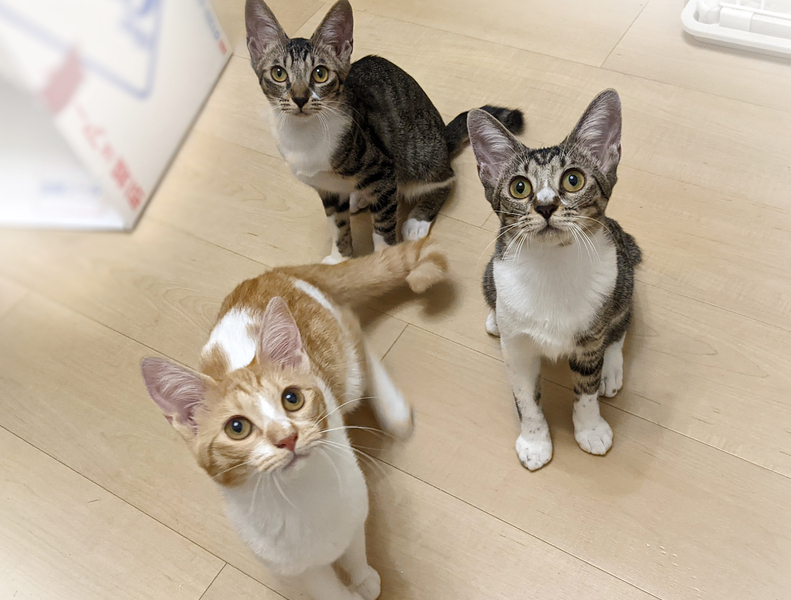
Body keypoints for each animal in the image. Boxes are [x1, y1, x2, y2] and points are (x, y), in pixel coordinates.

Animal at [140, 239, 447, 600]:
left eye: (292, 399)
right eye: (236, 427)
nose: (286, 437)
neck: (300, 498)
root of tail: (270, 274)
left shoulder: (355, 509)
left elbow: (355, 548)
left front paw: (363, 579)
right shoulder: (292, 565)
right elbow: (327, 589)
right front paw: (352, 592)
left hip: (343, 362)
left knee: (356, 335)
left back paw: (392, 407)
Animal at [245, 0, 524, 264]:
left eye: (320, 74)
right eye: (278, 73)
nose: (300, 98)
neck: (305, 132)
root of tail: (442, 139)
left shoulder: (383, 167)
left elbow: (382, 226)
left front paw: (382, 262)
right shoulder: (326, 189)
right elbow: (337, 224)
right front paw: (340, 257)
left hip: (418, 156)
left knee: (445, 180)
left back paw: (417, 220)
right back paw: (360, 198)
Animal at [467, 90, 642, 471]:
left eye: (573, 180)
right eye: (519, 187)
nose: (546, 206)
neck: (552, 266)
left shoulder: (591, 335)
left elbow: (586, 387)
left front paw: (591, 428)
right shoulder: (517, 350)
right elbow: (525, 397)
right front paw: (534, 441)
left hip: (624, 270)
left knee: (621, 323)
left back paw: (611, 369)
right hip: (489, 272)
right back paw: (494, 319)